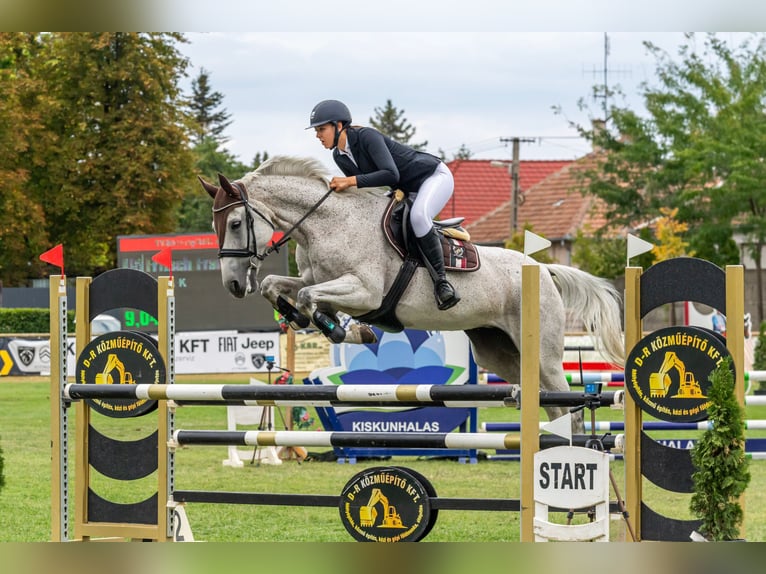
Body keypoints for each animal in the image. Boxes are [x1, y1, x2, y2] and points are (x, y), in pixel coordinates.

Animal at [201, 155, 628, 426]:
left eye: (236, 223)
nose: (233, 284)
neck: (325, 223)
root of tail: (544, 270)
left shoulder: (365, 292)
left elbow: (312, 299)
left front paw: (341, 327)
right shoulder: (313, 278)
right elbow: (277, 286)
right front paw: (301, 317)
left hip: (543, 354)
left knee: (566, 404)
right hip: (500, 352)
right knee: (548, 404)